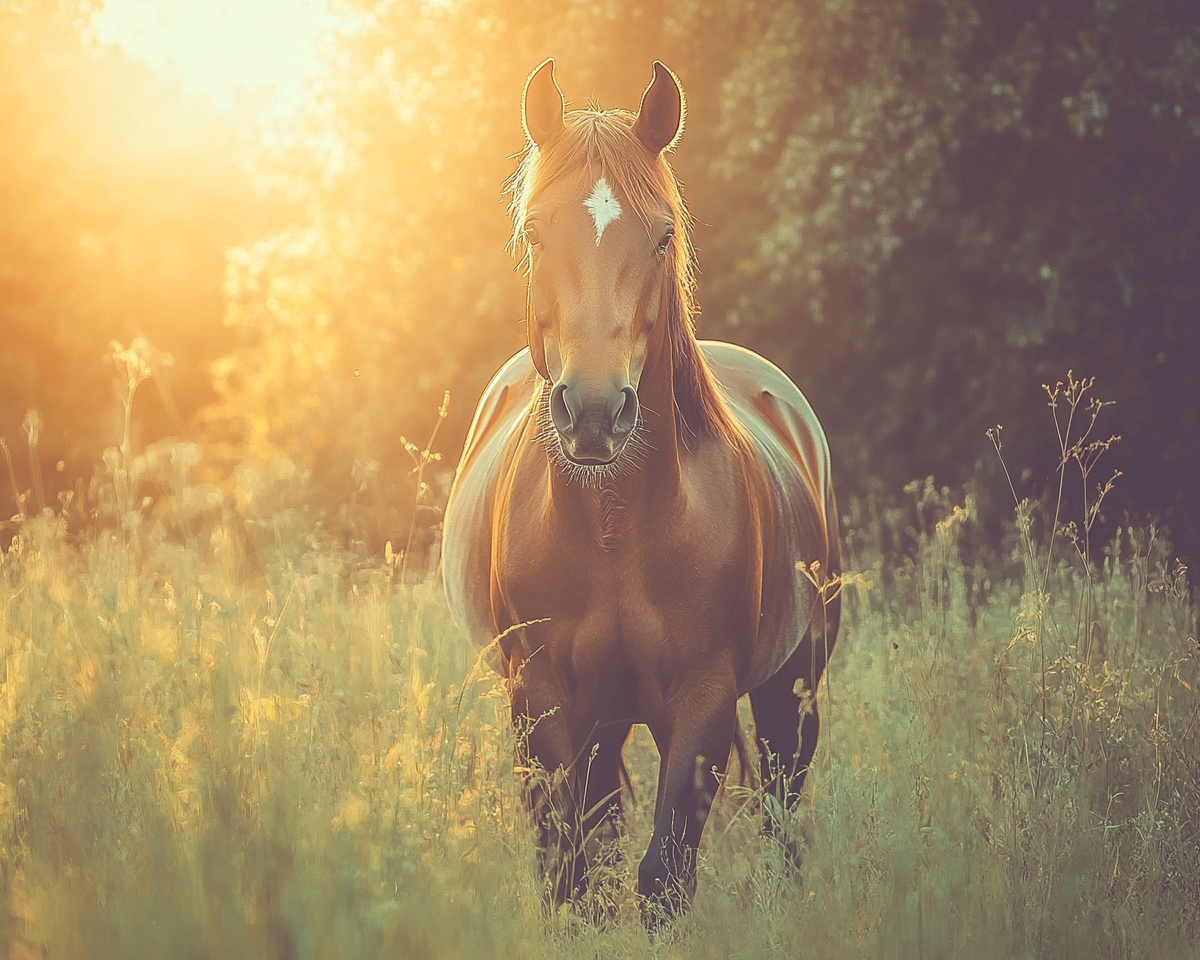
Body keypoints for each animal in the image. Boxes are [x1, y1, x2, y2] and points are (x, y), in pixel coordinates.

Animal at [436, 61, 840, 921]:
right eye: (534, 233)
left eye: (661, 236)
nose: (594, 411)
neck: (614, 530)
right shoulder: (542, 700)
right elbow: (568, 872)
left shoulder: (704, 701)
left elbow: (664, 876)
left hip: (792, 686)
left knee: (783, 807)